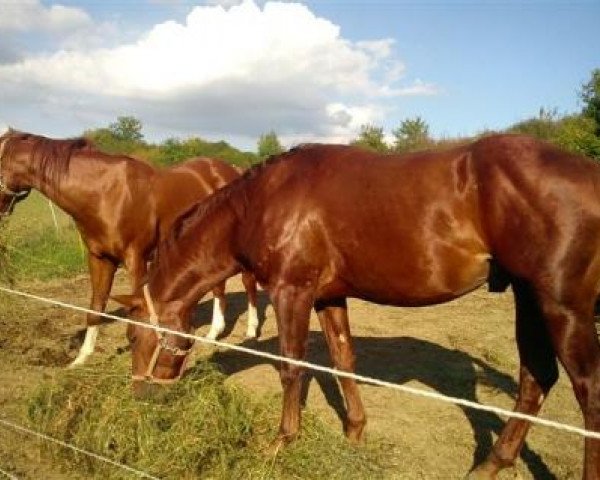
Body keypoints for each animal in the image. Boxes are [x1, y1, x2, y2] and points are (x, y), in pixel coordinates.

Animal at [0, 129, 260, 366]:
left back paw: (250, 330)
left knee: (248, 282)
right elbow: (95, 308)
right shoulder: (99, 259)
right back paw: (214, 333)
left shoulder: (136, 259)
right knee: (218, 286)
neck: (103, 192)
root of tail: (232, 170)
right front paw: (81, 359)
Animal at [116, 136, 600, 480]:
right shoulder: (328, 296)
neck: (261, 202)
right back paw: (489, 464)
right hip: (528, 297)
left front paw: (282, 441)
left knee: (587, 392)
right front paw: (354, 431)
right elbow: (342, 359)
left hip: (563, 305)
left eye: (133, 335)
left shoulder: (291, 291)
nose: (138, 395)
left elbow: (292, 366)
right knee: (536, 380)